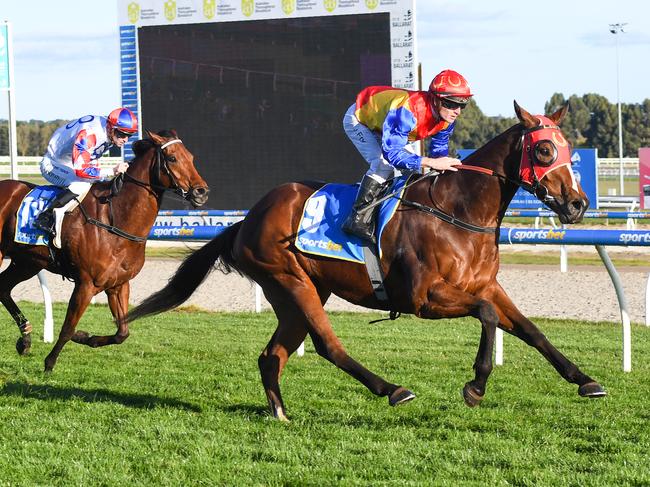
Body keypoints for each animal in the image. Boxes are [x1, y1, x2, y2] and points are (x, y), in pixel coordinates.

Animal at [0, 132, 208, 372]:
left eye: (191, 157)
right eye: (172, 158)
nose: (201, 191)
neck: (116, 220)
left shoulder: (118, 284)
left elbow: (122, 333)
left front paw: (85, 337)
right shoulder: (86, 284)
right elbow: (68, 328)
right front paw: (50, 362)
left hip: (28, 262)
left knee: (3, 287)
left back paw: (25, 338)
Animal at [128, 102, 608, 420]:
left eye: (568, 147)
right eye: (544, 150)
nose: (578, 204)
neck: (459, 211)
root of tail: (248, 218)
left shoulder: (486, 285)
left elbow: (531, 330)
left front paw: (585, 380)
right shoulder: (425, 298)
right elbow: (488, 316)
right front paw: (475, 385)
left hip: (298, 291)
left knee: (272, 354)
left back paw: (281, 413)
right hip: (291, 280)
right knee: (327, 346)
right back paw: (392, 389)